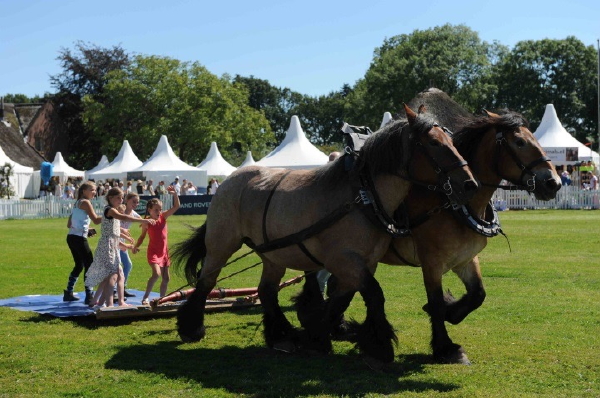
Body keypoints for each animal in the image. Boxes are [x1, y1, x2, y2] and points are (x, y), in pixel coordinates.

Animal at [172, 104, 478, 366]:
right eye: (434, 143)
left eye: (451, 140)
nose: (469, 183)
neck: (363, 197)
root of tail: (228, 182)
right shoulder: (345, 260)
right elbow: (373, 295)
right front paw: (378, 346)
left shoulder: (362, 263)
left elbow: (341, 299)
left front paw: (318, 337)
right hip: (221, 244)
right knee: (206, 281)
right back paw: (192, 327)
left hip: (274, 254)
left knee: (267, 291)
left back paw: (282, 335)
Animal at [300, 88, 564, 366]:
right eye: (520, 142)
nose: (553, 182)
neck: (453, 204)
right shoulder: (432, 262)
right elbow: (435, 302)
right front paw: (445, 346)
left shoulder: (465, 258)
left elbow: (477, 294)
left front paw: (452, 311)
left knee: (339, 287)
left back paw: (338, 327)